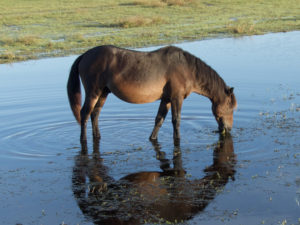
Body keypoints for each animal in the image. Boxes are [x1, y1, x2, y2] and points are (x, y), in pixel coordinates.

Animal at [67, 45, 237, 144]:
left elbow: (159, 120)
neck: (187, 68)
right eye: (231, 108)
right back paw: (83, 139)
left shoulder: (166, 99)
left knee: (95, 114)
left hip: (103, 93)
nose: (229, 129)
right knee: (85, 113)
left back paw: (97, 136)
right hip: (93, 91)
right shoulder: (176, 98)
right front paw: (177, 139)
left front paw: (152, 138)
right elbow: (176, 120)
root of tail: (85, 55)